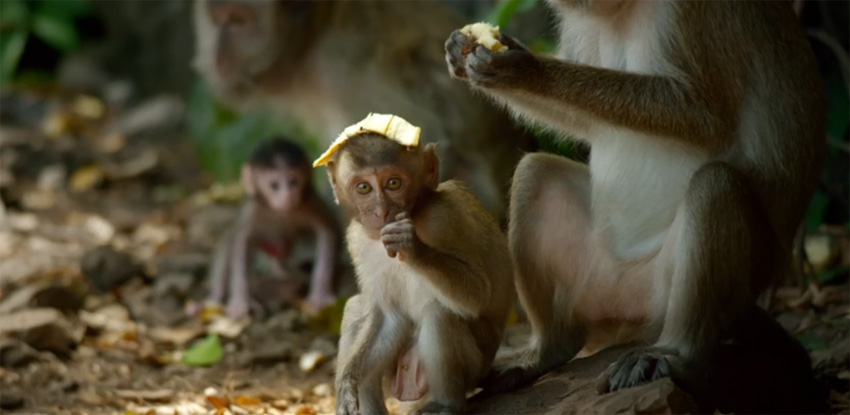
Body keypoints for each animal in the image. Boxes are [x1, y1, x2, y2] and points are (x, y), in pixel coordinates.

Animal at [204, 137, 340, 318]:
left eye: (294, 182)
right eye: (274, 185)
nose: (288, 196)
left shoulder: (309, 204)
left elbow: (327, 230)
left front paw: (319, 296)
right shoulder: (253, 210)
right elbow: (240, 242)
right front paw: (240, 301)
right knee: (228, 245)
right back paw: (212, 300)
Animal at [316, 116, 512, 415]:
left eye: (393, 183)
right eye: (363, 188)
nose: (381, 211)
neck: (417, 212)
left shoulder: (444, 216)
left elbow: (478, 294)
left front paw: (412, 246)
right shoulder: (357, 240)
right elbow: (388, 316)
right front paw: (347, 381)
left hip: (474, 366)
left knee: (440, 312)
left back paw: (446, 403)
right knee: (356, 308)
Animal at [444, 0, 820, 410]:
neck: (621, 10)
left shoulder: (693, 13)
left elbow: (705, 116)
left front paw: (525, 71)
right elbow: (586, 125)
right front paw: (466, 53)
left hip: (730, 279)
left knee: (715, 186)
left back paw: (677, 354)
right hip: (596, 283)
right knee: (535, 173)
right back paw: (547, 349)